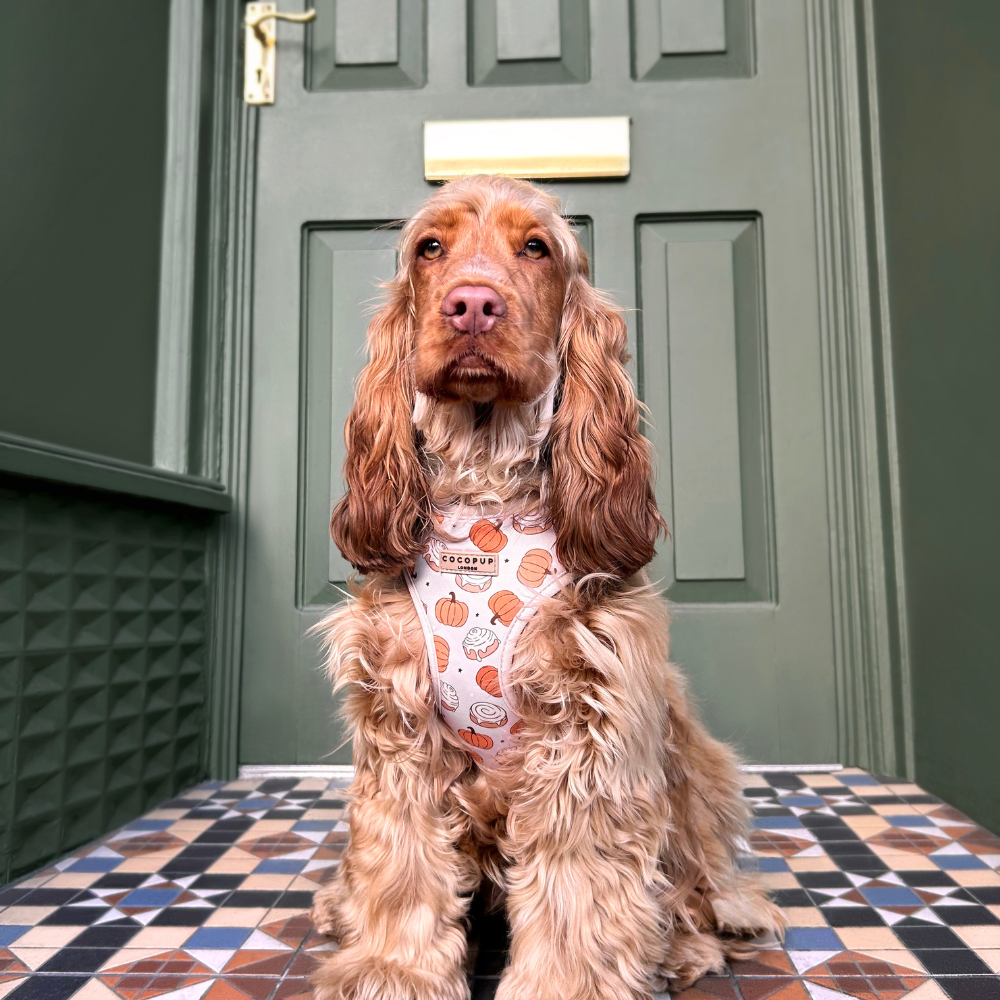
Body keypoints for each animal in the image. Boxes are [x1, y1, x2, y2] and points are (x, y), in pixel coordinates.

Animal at [308, 176, 784, 1000]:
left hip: (695, 759)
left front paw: (567, 984)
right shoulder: (398, 722)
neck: (486, 499)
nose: (471, 304)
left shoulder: (589, 724)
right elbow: (400, 862)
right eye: (430, 247)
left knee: (699, 885)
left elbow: (580, 887)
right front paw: (391, 968)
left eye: (536, 248)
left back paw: (691, 943)